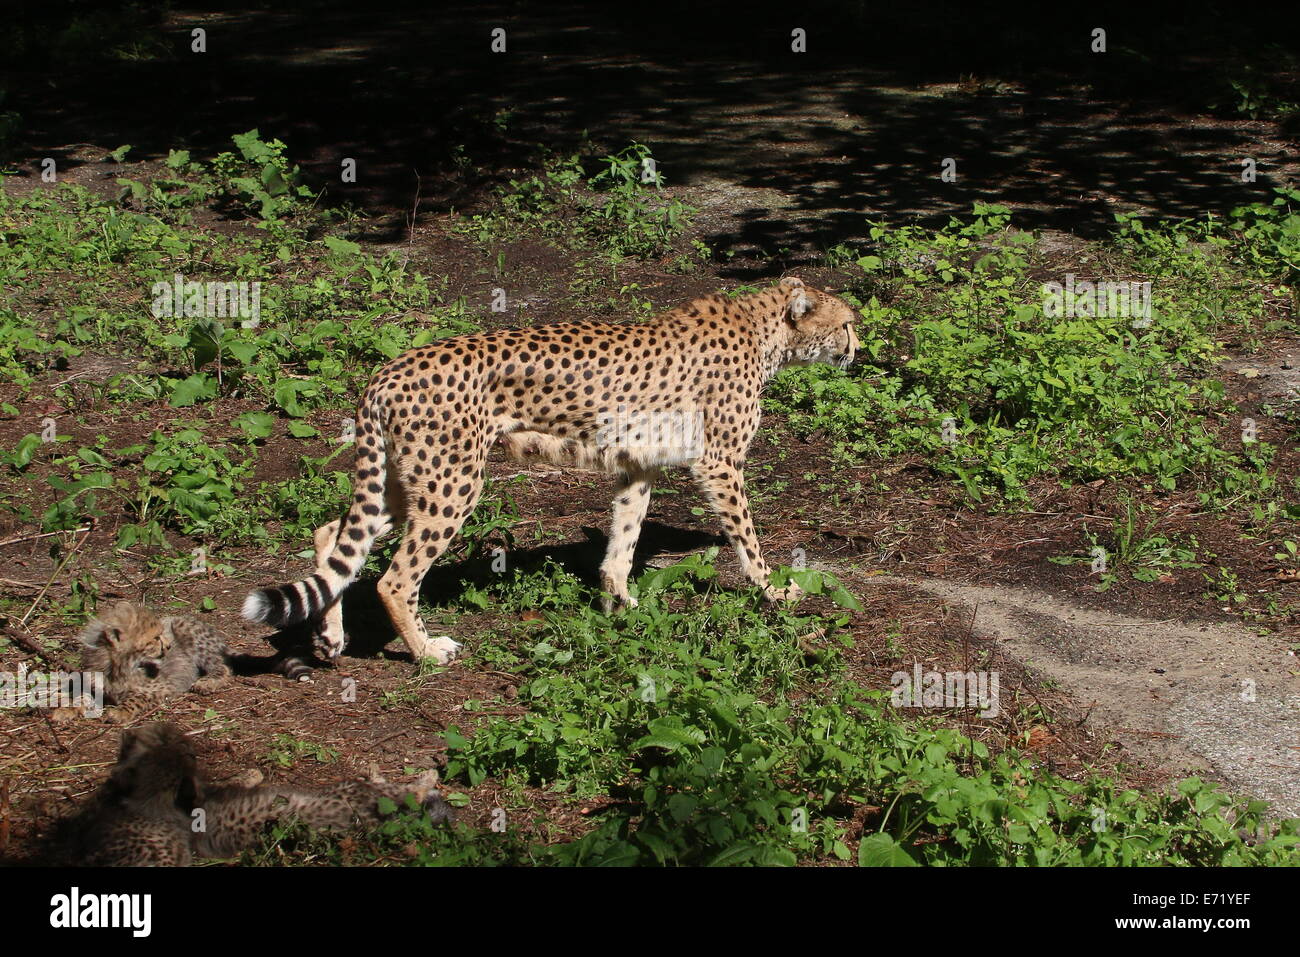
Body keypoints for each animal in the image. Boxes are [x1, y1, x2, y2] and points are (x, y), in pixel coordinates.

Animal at [78, 601, 311, 721]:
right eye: (154, 639)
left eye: (160, 635)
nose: (168, 646)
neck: (119, 667)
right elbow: (81, 694)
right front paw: (71, 709)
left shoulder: (163, 687)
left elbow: (136, 698)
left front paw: (119, 712)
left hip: (184, 627)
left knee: (223, 667)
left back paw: (207, 682)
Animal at [243, 277, 859, 665]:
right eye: (848, 324)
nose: (859, 350)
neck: (766, 330)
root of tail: (388, 369)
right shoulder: (719, 464)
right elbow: (747, 540)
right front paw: (776, 591)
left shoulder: (637, 465)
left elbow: (623, 541)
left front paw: (620, 604)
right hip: (454, 482)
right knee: (394, 578)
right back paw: (426, 651)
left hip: (410, 478)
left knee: (333, 533)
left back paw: (329, 640)